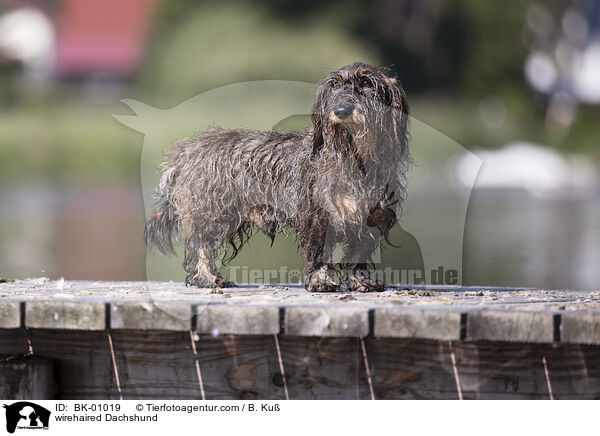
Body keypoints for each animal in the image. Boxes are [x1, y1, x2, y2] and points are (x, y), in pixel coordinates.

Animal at [144, 62, 410, 292]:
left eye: (366, 83)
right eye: (335, 85)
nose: (341, 111)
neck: (352, 156)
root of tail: (186, 150)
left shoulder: (370, 220)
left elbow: (357, 255)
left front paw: (360, 282)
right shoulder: (317, 217)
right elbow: (318, 253)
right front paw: (321, 281)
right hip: (212, 215)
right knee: (200, 246)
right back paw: (207, 278)